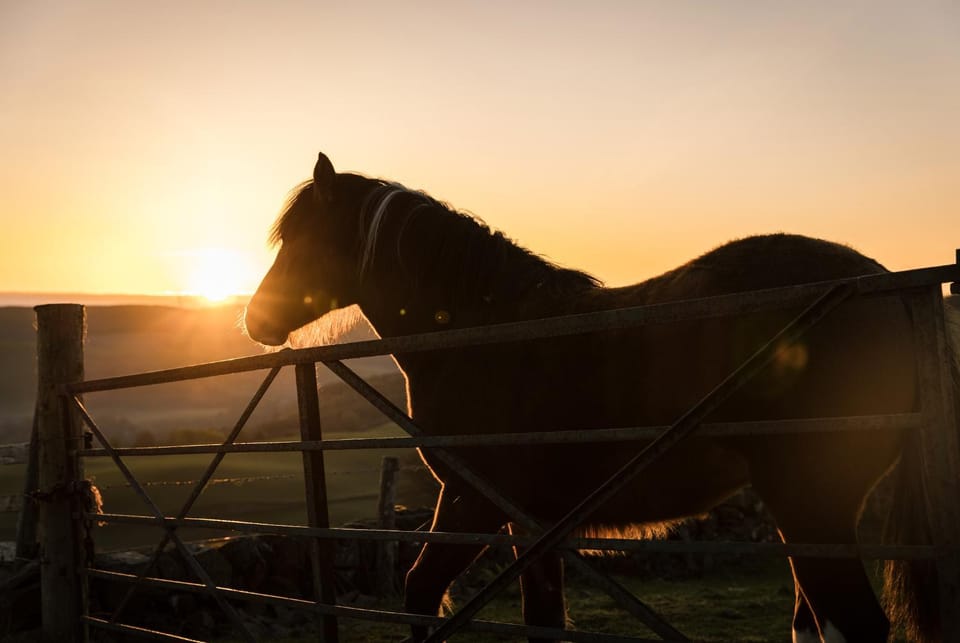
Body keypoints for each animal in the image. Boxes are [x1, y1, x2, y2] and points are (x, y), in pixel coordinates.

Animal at [244, 151, 955, 643]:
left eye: (303, 241)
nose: (254, 320)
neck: (490, 333)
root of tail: (880, 282)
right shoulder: (532, 524)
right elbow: (542, 617)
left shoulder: (472, 501)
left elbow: (421, 591)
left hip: (811, 503)